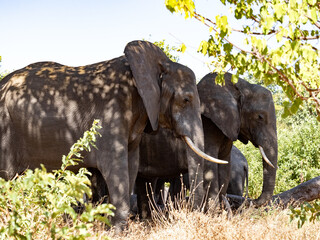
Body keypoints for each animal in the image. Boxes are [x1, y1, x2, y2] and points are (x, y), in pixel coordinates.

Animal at [0, 40, 225, 231]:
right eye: (186, 99)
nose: (192, 215)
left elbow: (131, 164)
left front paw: (115, 228)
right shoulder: (111, 113)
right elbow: (115, 167)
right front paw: (116, 231)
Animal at [135, 72, 278, 218]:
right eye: (260, 117)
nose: (252, 201)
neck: (240, 85)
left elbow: (224, 166)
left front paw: (217, 213)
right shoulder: (208, 128)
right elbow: (210, 165)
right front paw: (213, 213)